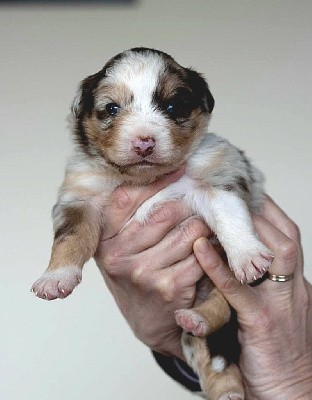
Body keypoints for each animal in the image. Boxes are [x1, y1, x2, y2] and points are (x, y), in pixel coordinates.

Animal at [31, 47, 272, 400]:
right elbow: (69, 237)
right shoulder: (81, 195)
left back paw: (200, 320)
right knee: (211, 354)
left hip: (218, 281)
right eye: (111, 108)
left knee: (222, 311)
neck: (145, 178)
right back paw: (201, 332)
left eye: (173, 106)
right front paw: (55, 277)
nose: (144, 142)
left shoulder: (216, 177)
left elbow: (231, 214)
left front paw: (248, 254)